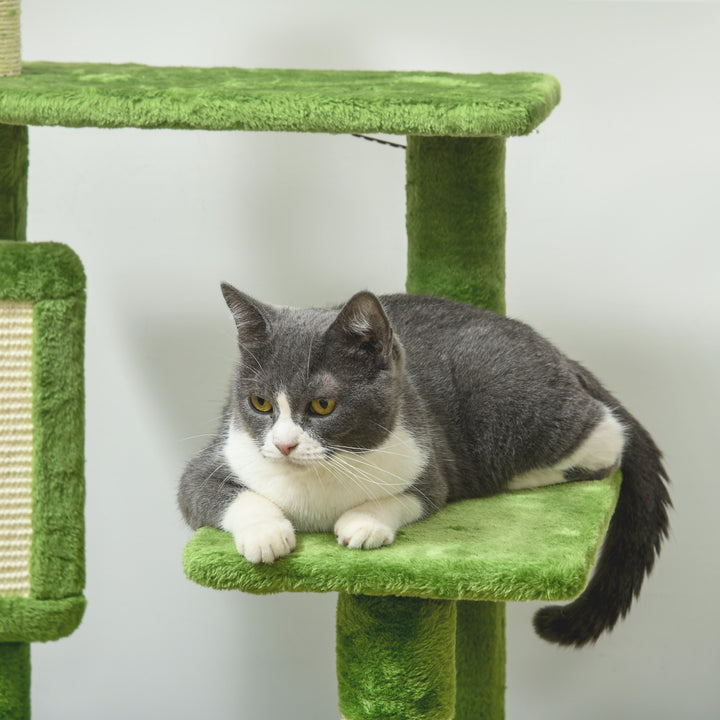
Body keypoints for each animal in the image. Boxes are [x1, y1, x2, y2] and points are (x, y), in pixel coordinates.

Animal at [179, 286, 668, 648]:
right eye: (259, 403)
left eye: (322, 405)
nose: (283, 445)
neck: (318, 480)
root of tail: (560, 354)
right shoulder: (215, 456)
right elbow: (214, 493)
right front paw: (267, 535)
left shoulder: (429, 461)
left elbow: (417, 496)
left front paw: (363, 523)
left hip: (513, 407)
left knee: (609, 434)